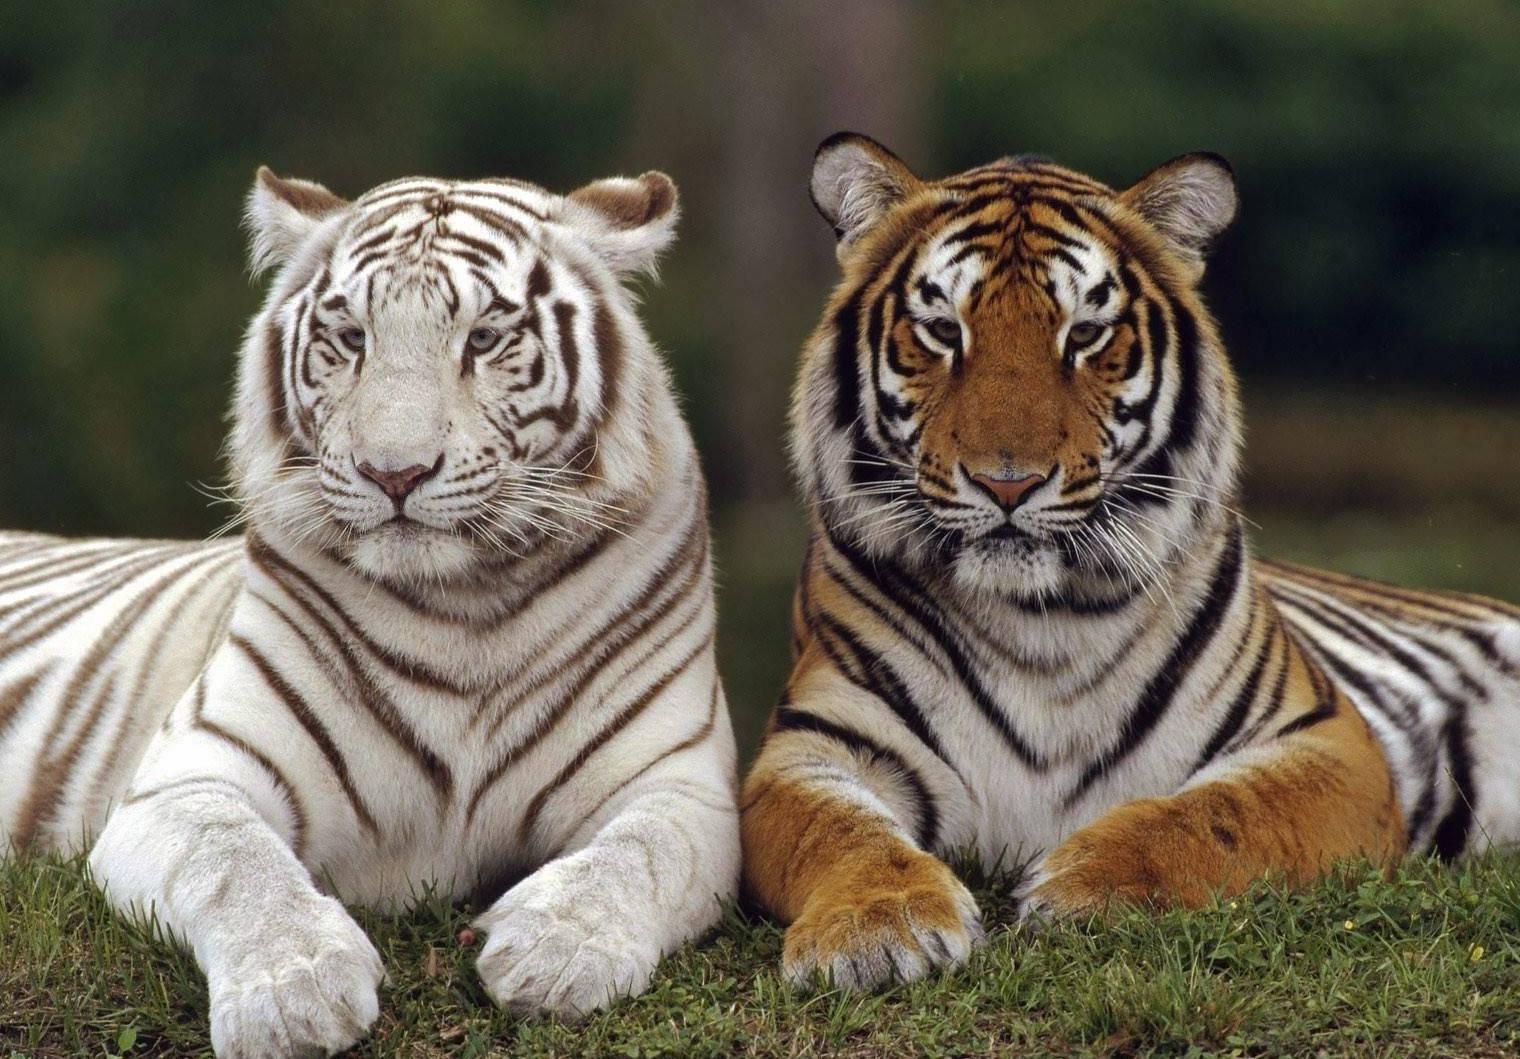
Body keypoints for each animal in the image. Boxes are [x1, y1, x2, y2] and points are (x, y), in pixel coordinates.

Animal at [0, 165, 739, 1055]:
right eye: (351, 336)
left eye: (484, 338)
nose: (395, 472)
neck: (467, 608)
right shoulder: (188, 775)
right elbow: (234, 860)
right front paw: (295, 991)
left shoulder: (681, 783)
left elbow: (639, 853)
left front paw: (557, 950)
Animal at [739, 132, 1520, 990]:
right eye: (943, 329)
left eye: (1085, 334)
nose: (1006, 482)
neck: (1040, 620)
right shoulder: (812, 746)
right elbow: (837, 832)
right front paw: (876, 926)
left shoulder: (1325, 740)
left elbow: (1218, 814)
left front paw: (1085, 880)